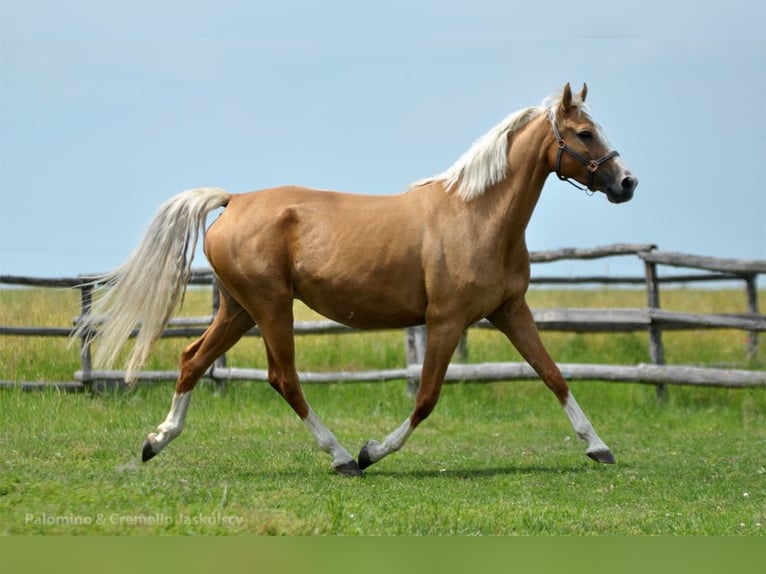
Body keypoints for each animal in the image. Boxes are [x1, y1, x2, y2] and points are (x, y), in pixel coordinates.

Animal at [75, 83, 637, 476]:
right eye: (585, 134)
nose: (627, 183)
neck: (477, 216)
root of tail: (233, 200)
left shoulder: (509, 311)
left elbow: (554, 375)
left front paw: (599, 447)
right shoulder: (447, 320)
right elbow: (426, 397)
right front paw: (373, 452)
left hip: (238, 310)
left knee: (192, 360)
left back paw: (155, 442)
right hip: (271, 308)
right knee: (284, 379)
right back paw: (343, 457)